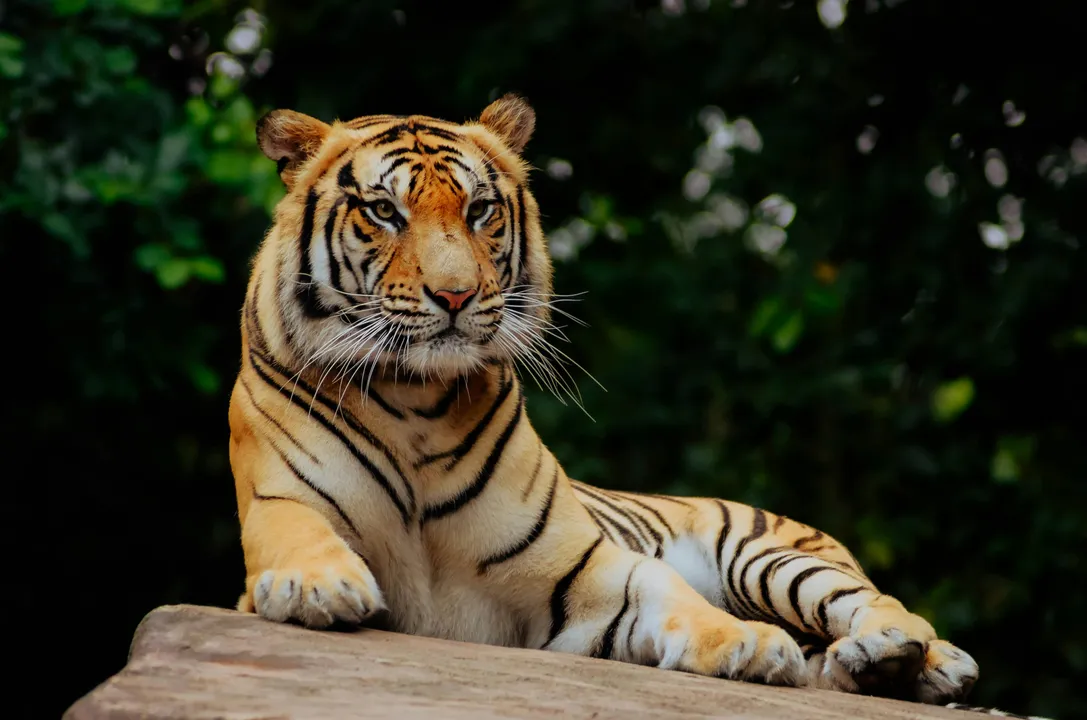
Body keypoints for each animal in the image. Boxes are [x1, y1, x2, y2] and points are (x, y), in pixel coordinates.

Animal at [227, 93, 1015, 713]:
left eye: (480, 210)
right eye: (384, 211)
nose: (455, 296)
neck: (415, 399)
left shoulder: (581, 568)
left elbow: (666, 590)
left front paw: (748, 643)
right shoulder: (280, 500)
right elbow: (300, 534)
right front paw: (317, 585)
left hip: (769, 555)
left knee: (879, 605)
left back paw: (905, 652)